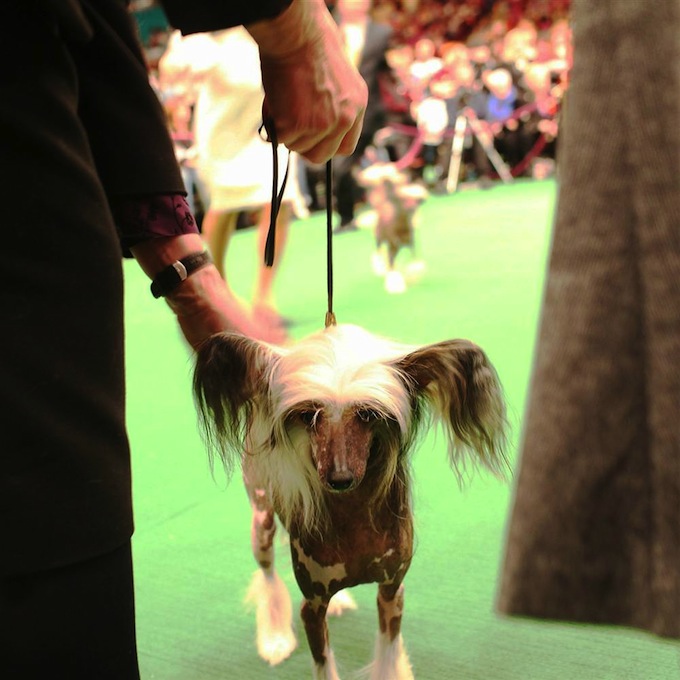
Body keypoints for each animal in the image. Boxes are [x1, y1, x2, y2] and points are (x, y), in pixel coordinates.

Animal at [194, 324, 508, 680]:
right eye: (308, 415)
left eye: (368, 414)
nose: (339, 478)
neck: (353, 515)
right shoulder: (312, 608)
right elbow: (324, 662)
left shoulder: (391, 592)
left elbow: (387, 653)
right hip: (261, 517)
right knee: (268, 573)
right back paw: (275, 636)